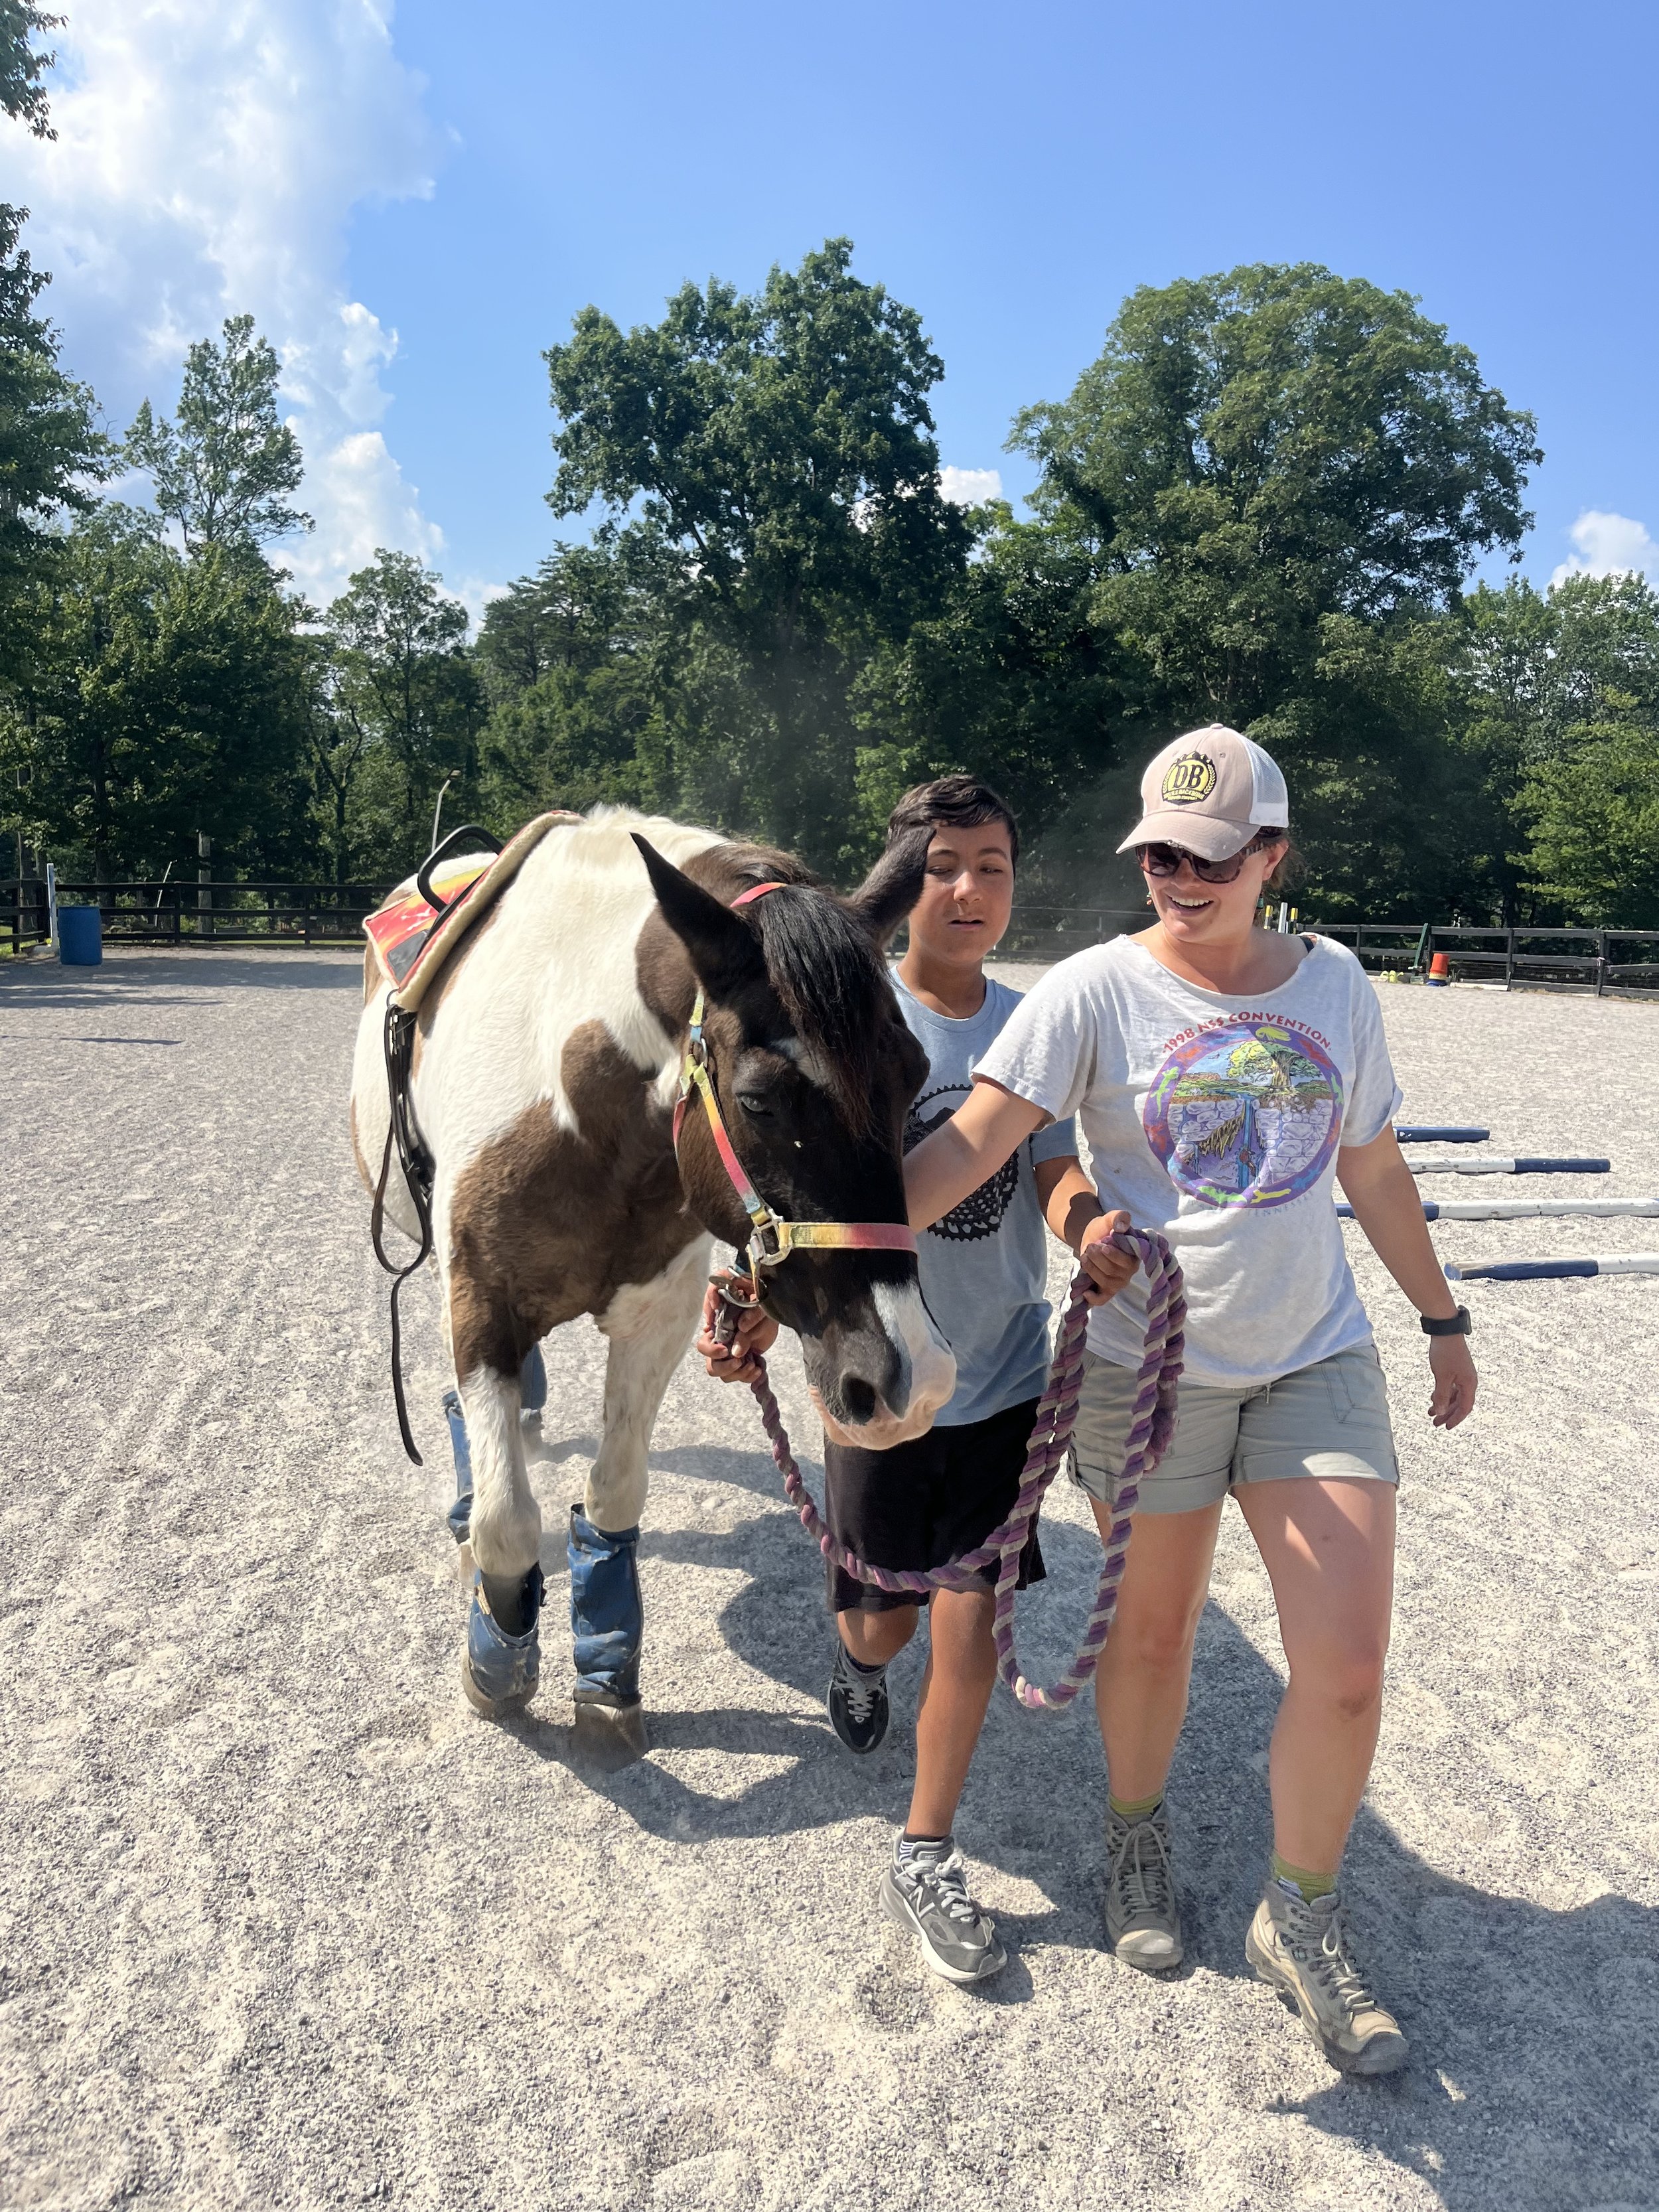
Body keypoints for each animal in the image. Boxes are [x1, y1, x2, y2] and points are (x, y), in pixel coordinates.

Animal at [348, 808, 956, 1749]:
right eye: (759, 1099)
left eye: (914, 1076)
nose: (909, 1377)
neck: (576, 1100)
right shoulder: (480, 1303)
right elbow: (506, 1523)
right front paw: (497, 1663)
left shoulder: (655, 1319)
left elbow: (612, 1498)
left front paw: (604, 1670)